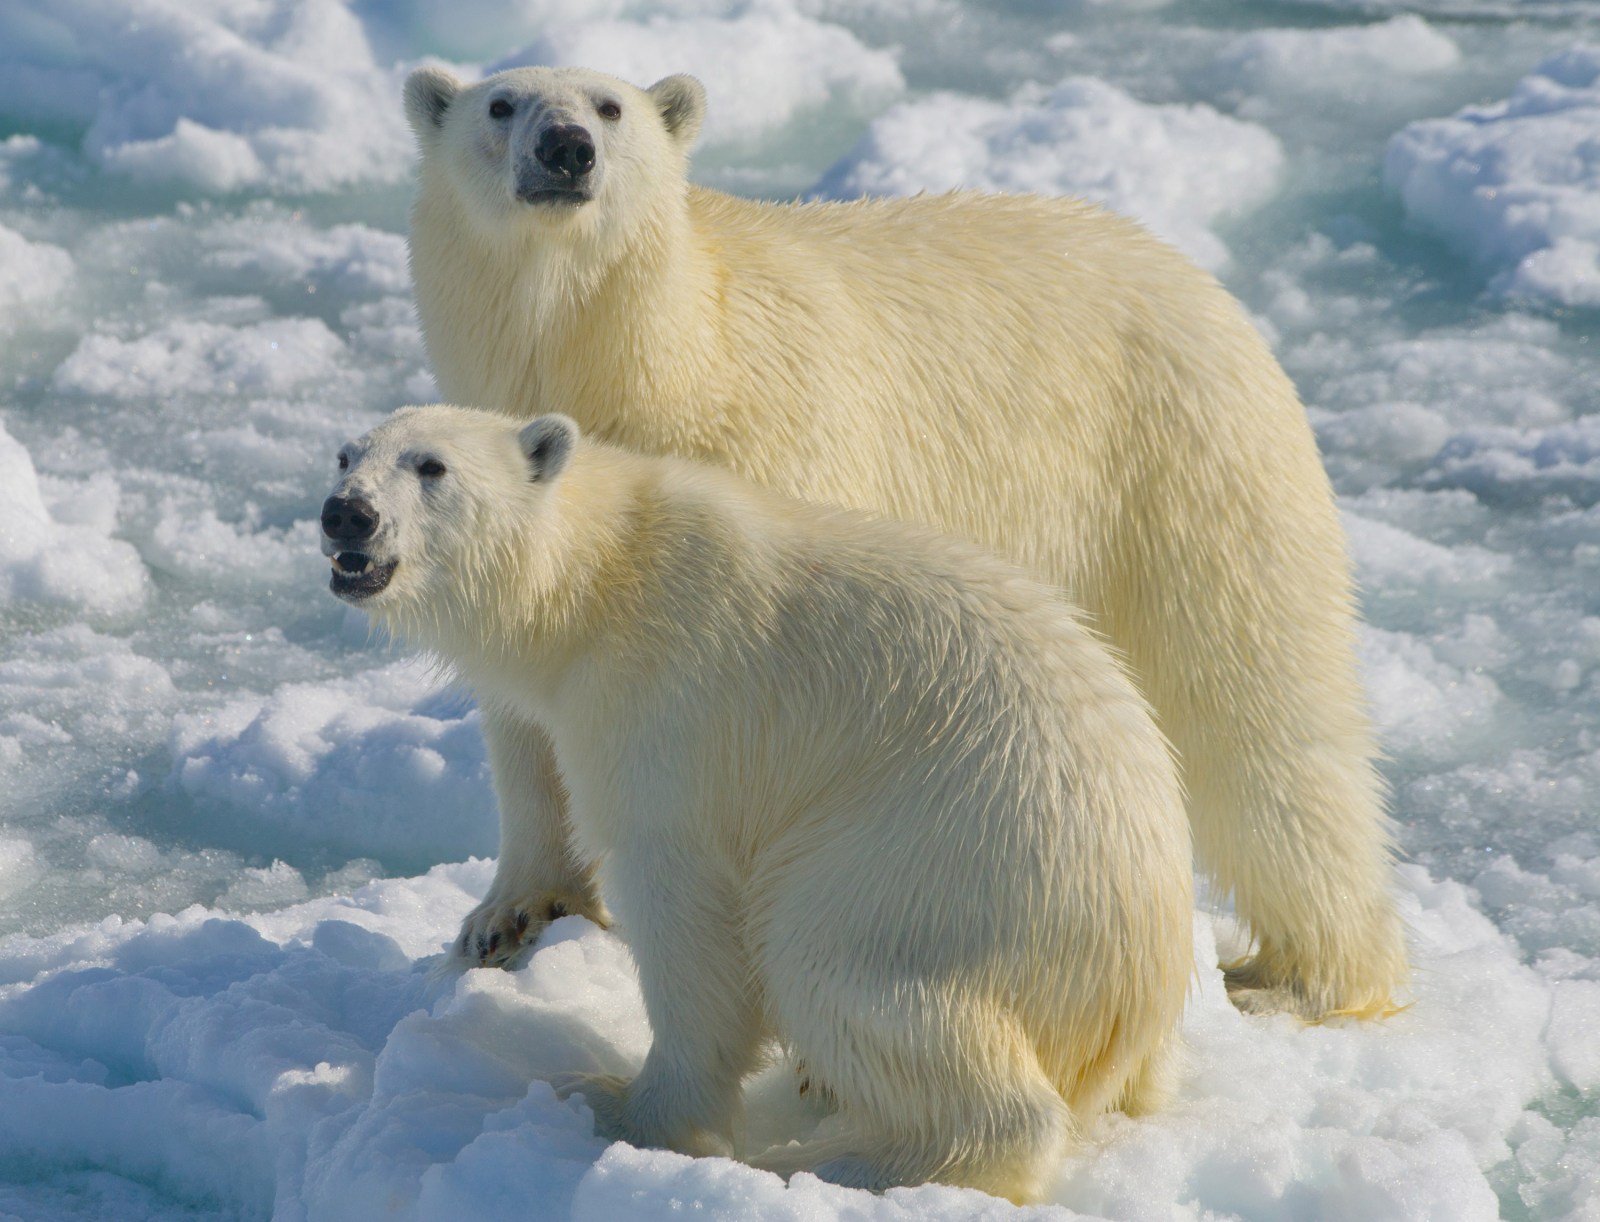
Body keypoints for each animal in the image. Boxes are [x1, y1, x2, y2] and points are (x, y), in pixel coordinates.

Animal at [319, 403, 1194, 1203]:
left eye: (430, 466)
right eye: (345, 455)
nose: (346, 514)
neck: (601, 575)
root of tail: (1139, 986)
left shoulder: (673, 709)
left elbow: (686, 913)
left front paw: (623, 1110)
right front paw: (496, 926)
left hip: (942, 871)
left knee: (838, 965)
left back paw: (833, 1162)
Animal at [402, 64, 1406, 1022]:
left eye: (611, 106)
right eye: (500, 104)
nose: (567, 148)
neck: (658, 357)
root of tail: (1200, 281)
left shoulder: (774, 455)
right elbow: (526, 706)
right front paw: (508, 917)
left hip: (1181, 474)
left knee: (1255, 708)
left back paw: (1303, 976)